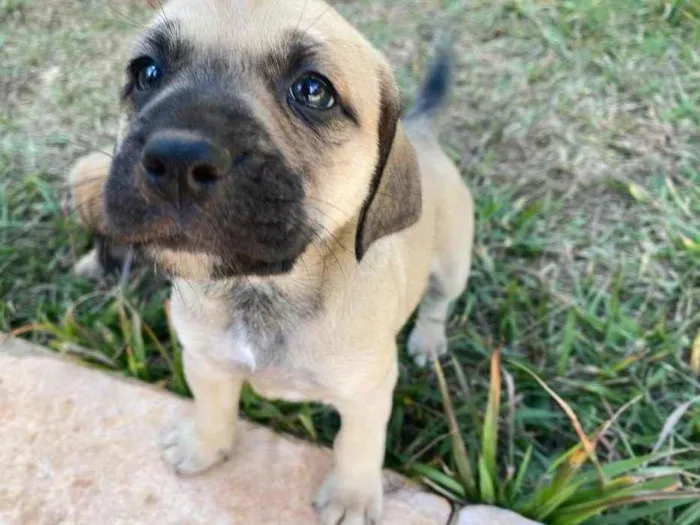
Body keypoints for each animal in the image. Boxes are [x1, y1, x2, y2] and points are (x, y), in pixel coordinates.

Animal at [68, 2, 474, 520]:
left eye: (313, 91)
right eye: (147, 72)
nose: (178, 159)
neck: (261, 289)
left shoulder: (368, 394)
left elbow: (358, 446)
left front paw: (352, 497)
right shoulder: (206, 362)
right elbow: (213, 408)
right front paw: (204, 447)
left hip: (453, 264)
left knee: (439, 301)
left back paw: (427, 338)